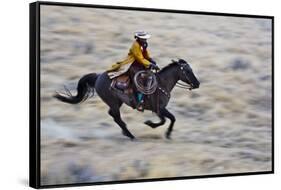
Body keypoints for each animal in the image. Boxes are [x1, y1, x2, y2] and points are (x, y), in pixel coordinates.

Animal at [53, 59, 199, 140]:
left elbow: (171, 119)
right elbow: (166, 120)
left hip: (117, 102)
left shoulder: (160, 109)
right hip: (113, 102)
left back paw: (125, 131)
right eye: (187, 71)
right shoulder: (159, 109)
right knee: (116, 117)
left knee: (113, 115)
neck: (161, 83)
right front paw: (151, 124)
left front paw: (167, 134)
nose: (197, 84)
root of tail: (98, 76)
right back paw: (130, 135)